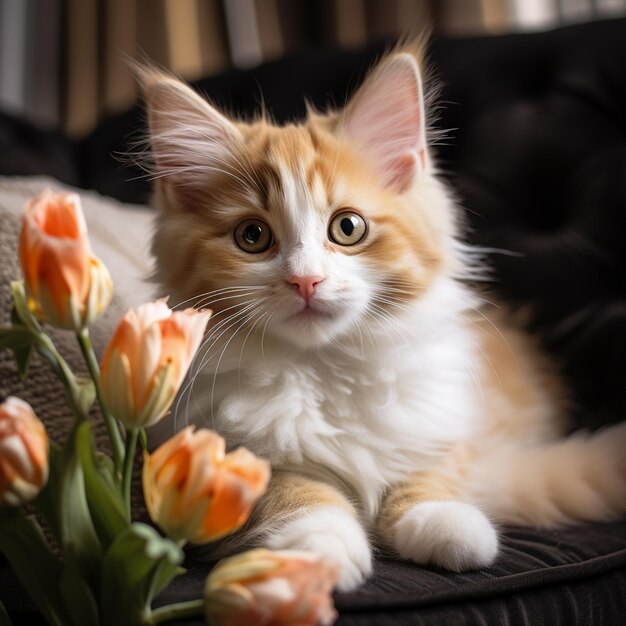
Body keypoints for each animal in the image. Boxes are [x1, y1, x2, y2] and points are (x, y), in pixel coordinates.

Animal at [139, 45, 624, 588]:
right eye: (252, 237)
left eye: (347, 227)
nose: (305, 280)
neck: (327, 367)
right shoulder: (218, 450)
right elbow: (294, 492)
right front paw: (321, 548)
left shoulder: (446, 420)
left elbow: (431, 470)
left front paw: (443, 523)